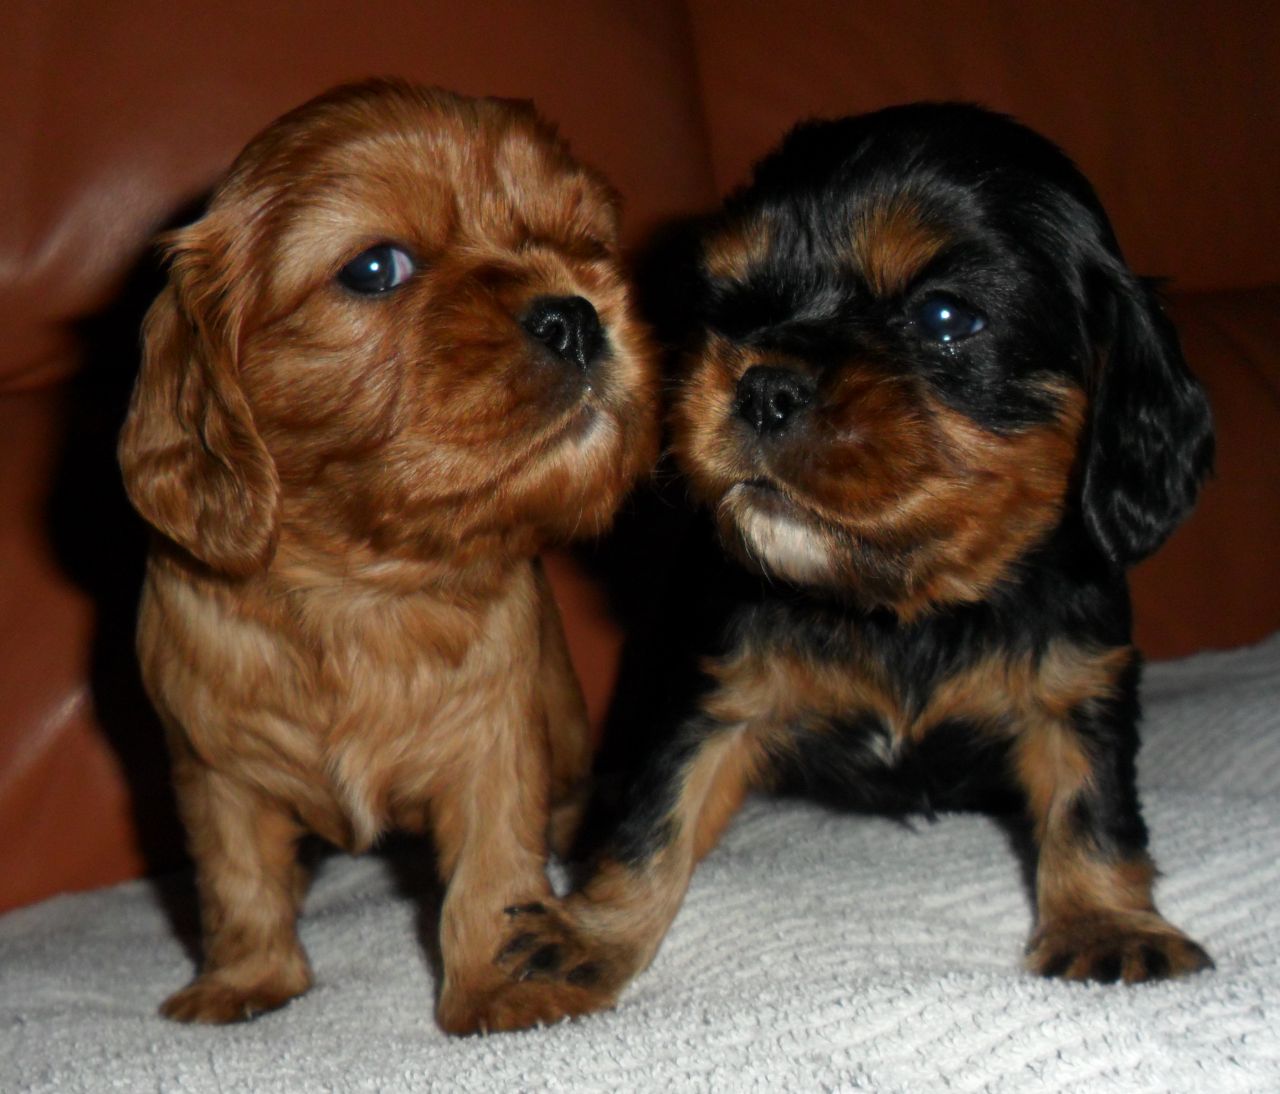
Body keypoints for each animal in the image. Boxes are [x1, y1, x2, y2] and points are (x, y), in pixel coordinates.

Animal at [117, 79, 660, 1033]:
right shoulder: (214, 768)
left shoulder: (494, 742)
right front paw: (245, 980)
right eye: (375, 269)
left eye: (586, 240)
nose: (577, 312)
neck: (363, 584)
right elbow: (235, 878)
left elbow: (492, 865)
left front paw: (500, 984)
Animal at [486, 102, 1208, 1028]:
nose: (761, 386)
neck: (903, 603)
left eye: (945, 318)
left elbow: (1095, 810)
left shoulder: (1078, 686)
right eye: (732, 305)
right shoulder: (715, 698)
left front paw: (1110, 924)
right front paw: (590, 934)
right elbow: (651, 825)